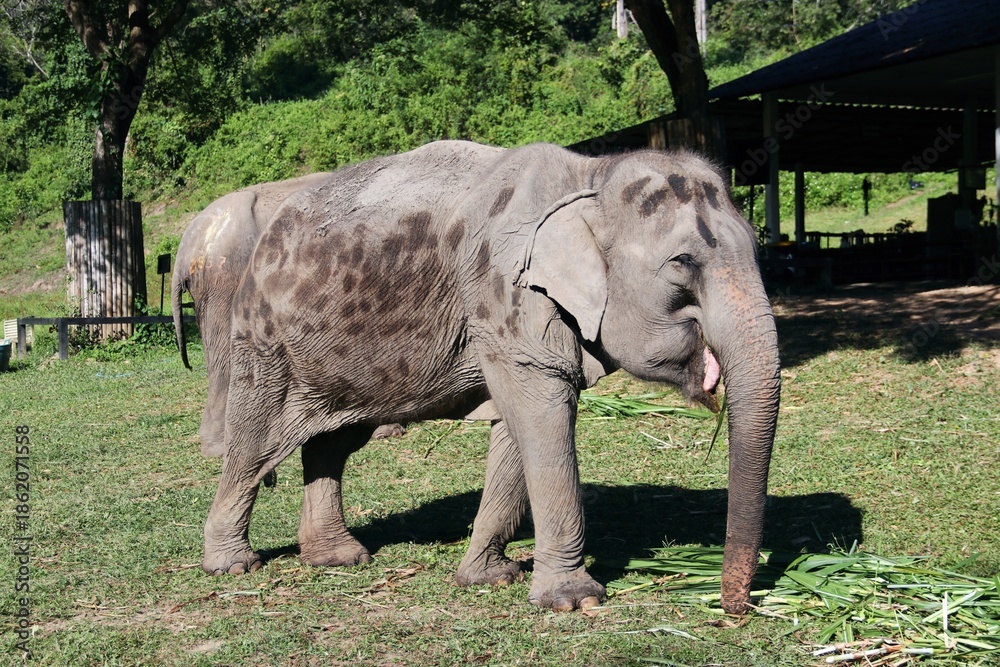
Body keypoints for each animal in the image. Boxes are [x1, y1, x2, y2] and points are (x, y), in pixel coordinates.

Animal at [203, 140, 780, 615]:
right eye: (683, 262)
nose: (736, 607)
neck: (590, 175)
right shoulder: (507, 293)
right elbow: (543, 415)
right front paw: (574, 601)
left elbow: (516, 429)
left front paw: (488, 577)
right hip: (264, 341)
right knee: (255, 443)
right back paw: (232, 564)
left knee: (333, 442)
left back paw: (338, 558)